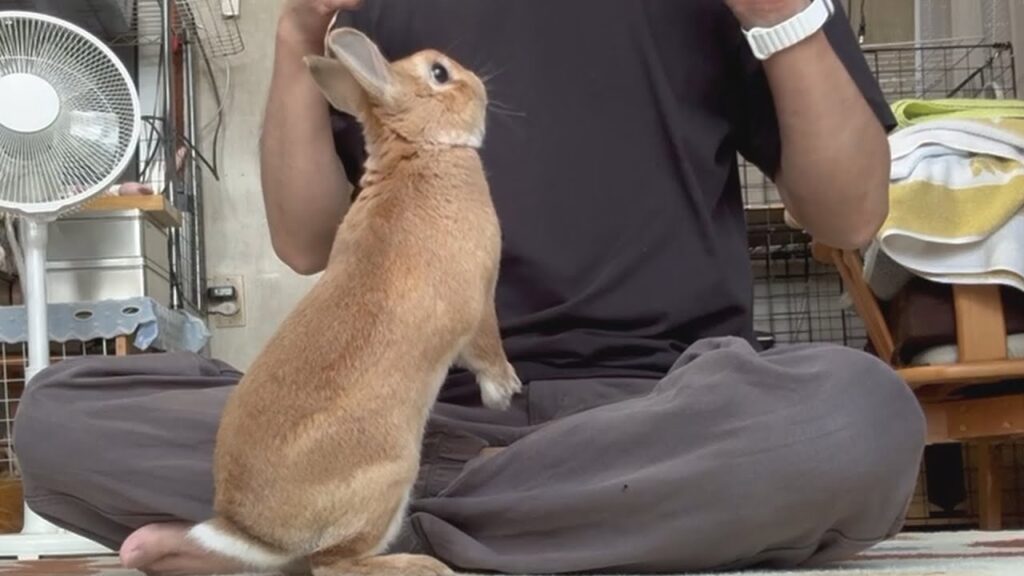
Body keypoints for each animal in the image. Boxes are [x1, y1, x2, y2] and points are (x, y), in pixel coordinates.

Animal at [186, 27, 522, 576]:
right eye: (439, 73)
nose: (480, 85)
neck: (421, 147)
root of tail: (256, 532)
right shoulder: (478, 300)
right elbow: (486, 348)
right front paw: (504, 391)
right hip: (392, 474)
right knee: (336, 562)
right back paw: (424, 566)